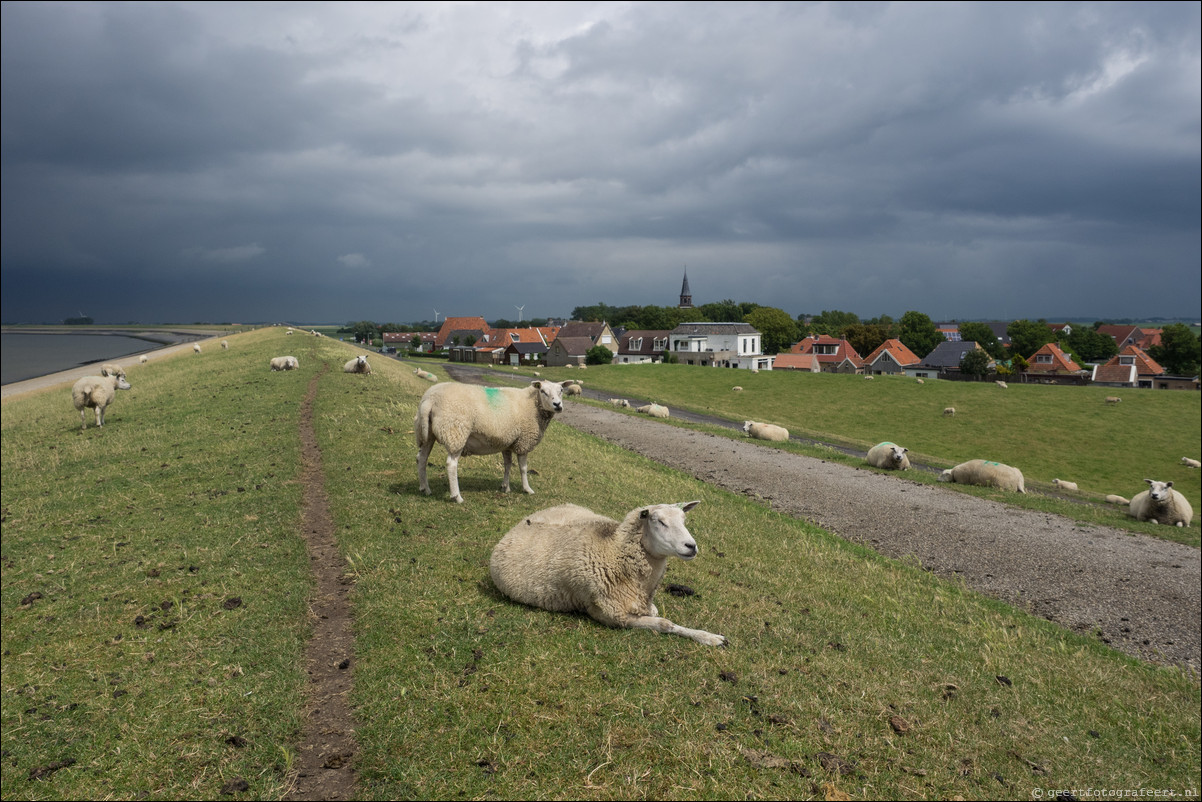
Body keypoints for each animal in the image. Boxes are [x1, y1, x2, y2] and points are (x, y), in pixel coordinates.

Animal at [485, 502, 721, 644]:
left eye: (683, 520)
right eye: (659, 522)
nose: (691, 546)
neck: (613, 549)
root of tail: (521, 522)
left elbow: (656, 613)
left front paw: (709, 636)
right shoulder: (614, 616)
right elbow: (665, 623)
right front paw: (709, 638)